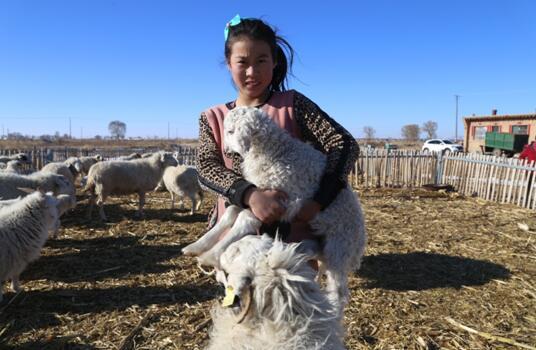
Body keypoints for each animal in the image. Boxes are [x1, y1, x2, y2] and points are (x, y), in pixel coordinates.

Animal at [182, 106, 366, 314]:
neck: (273, 151)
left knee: (339, 288)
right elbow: (230, 214)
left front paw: (212, 255)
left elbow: (244, 219)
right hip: (322, 245)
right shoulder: (256, 193)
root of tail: (360, 240)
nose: (227, 152)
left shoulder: (276, 200)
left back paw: (333, 309)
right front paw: (197, 246)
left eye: (230, 131)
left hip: (339, 247)